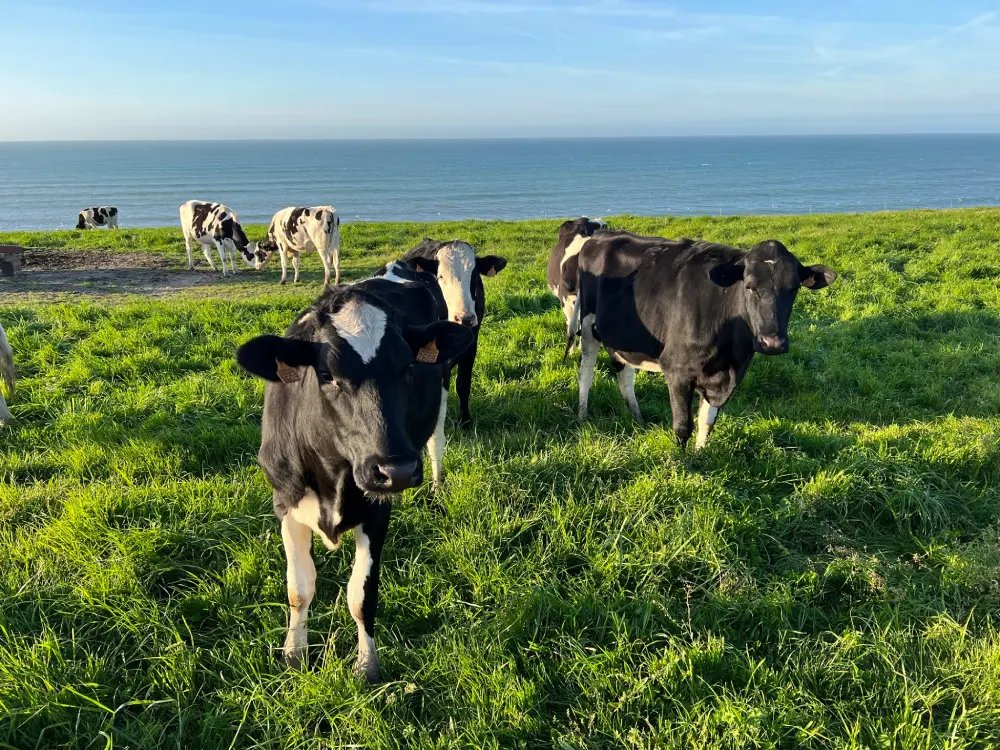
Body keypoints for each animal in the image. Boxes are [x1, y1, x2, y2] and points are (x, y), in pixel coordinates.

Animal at [235, 280, 474, 682]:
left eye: (407, 366)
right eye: (326, 375)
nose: (397, 470)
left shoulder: (376, 512)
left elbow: (361, 597)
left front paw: (367, 666)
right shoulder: (285, 503)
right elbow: (299, 588)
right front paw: (294, 655)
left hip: (441, 392)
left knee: (436, 443)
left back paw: (438, 490)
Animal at [400, 238, 507, 427]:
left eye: (475, 276)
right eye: (440, 276)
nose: (464, 318)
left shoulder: (472, 345)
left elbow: (463, 384)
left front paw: (465, 421)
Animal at [573, 235, 837, 449]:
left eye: (793, 289)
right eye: (749, 287)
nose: (772, 343)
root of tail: (601, 236)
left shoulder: (728, 375)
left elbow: (707, 422)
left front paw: (701, 455)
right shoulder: (677, 370)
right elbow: (682, 426)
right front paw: (681, 464)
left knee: (624, 373)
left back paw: (637, 417)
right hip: (587, 324)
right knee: (586, 372)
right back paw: (583, 416)